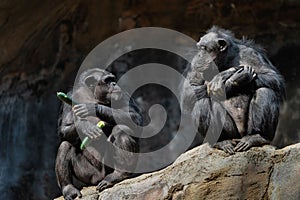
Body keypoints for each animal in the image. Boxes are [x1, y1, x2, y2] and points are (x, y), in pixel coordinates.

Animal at [55, 68, 143, 199]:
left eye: (113, 79)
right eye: (107, 80)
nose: (114, 84)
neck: (92, 94)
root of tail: (99, 178)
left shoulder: (122, 93)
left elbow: (135, 116)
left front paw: (93, 108)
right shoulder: (69, 97)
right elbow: (64, 128)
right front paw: (84, 126)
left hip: (107, 168)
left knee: (121, 130)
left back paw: (118, 174)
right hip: (88, 175)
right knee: (65, 145)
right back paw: (69, 189)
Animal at [179, 26, 284, 155]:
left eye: (204, 48)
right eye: (199, 48)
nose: (199, 55)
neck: (225, 59)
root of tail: (238, 137)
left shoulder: (251, 53)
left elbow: (272, 77)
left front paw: (229, 76)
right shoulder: (194, 65)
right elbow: (188, 91)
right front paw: (230, 77)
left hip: (246, 132)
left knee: (265, 91)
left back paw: (257, 137)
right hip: (230, 131)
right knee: (201, 102)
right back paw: (221, 141)